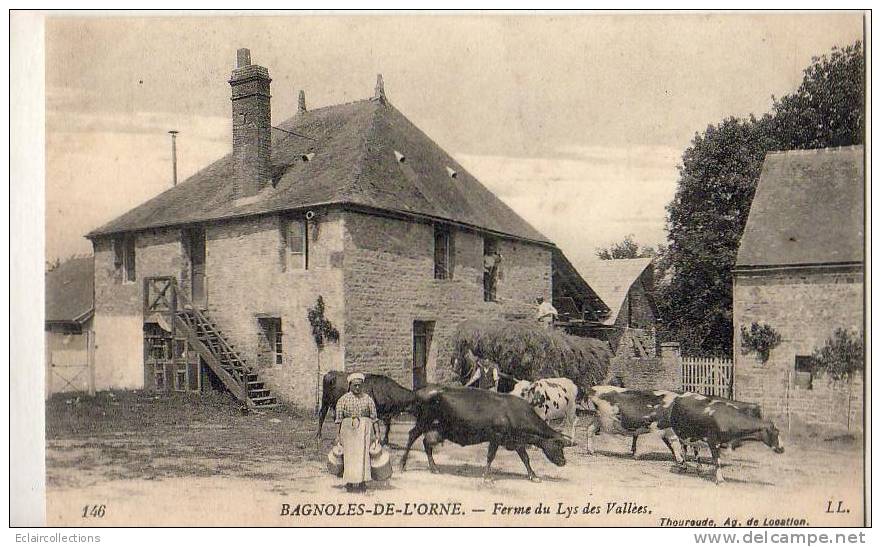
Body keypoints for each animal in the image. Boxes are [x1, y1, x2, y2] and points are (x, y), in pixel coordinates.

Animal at [398, 388, 576, 482]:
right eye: (558, 445)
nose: (564, 462)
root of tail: (420, 390)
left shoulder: (516, 440)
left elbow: (525, 458)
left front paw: (533, 476)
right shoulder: (496, 436)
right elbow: (490, 456)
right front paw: (486, 476)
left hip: (437, 429)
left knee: (426, 443)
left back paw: (434, 468)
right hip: (424, 421)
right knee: (412, 436)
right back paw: (402, 465)